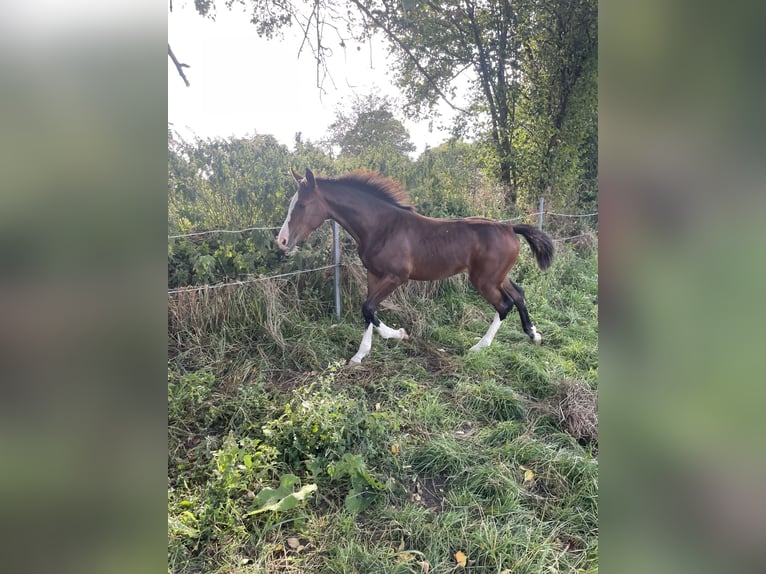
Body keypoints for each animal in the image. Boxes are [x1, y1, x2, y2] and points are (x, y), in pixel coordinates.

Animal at [277, 168, 554, 365]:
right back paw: (534, 335)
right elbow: (368, 311)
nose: (282, 241)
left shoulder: (396, 276)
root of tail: (510, 228)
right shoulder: (373, 274)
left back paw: (479, 346)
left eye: (301, 205)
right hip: (498, 276)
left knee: (504, 304)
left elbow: (368, 308)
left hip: (484, 280)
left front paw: (399, 334)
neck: (381, 226)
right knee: (518, 294)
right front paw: (360, 355)